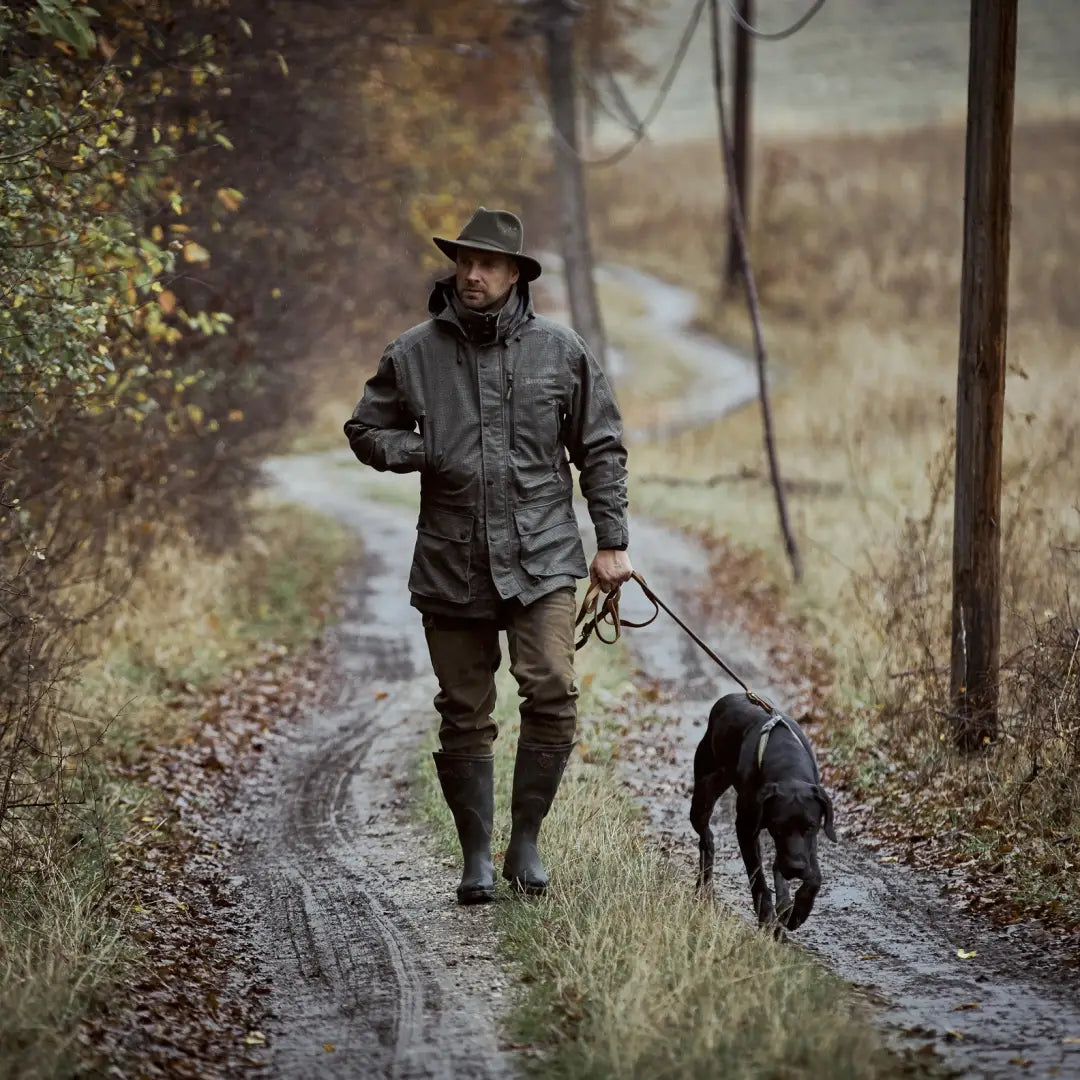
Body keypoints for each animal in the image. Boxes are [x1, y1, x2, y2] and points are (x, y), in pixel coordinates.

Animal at [691, 695, 833, 933]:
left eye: (811, 827)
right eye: (778, 827)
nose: (795, 868)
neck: (788, 766)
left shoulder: (809, 835)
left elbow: (814, 875)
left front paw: (798, 910)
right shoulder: (746, 828)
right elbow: (758, 878)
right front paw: (767, 920)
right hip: (704, 793)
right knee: (706, 838)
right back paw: (704, 887)